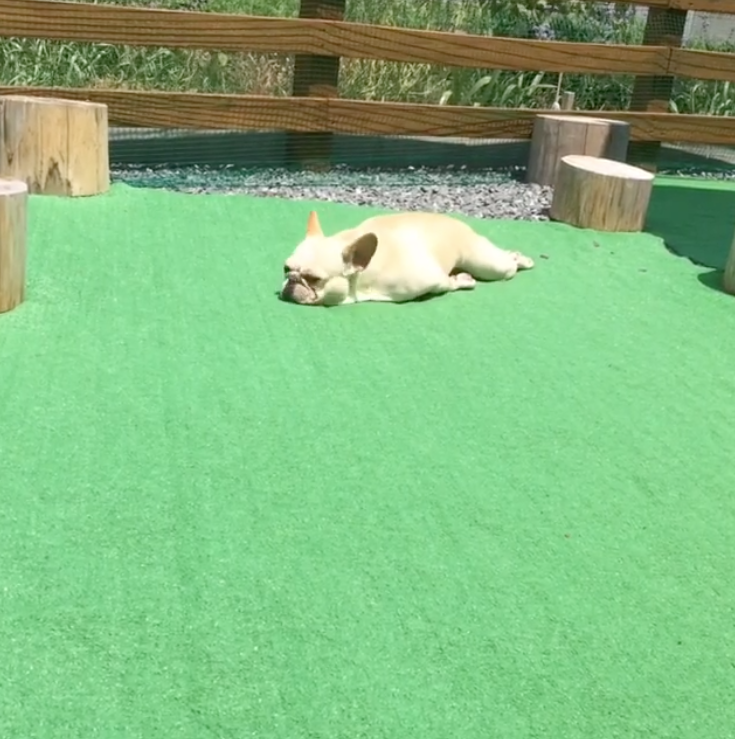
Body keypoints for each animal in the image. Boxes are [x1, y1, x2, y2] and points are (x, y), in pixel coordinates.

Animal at [279, 210, 535, 307]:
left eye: (314, 279)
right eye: (285, 269)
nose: (292, 280)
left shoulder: (431, 277)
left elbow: (445, 284)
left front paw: (460, 281)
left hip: (487, 264)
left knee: (505, 266)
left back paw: (519, 259)